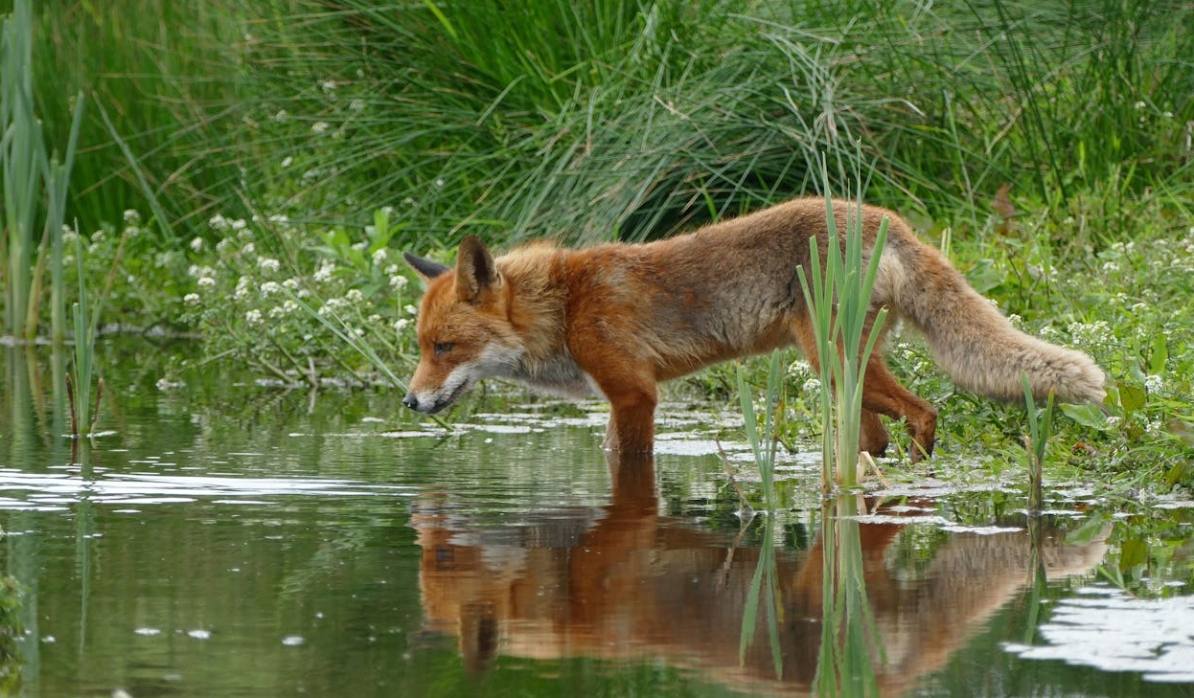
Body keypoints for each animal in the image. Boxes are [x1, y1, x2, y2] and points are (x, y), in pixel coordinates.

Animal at [398, 195, 1098, 460]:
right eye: (422, 348)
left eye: (445, 347)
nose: (409, 401)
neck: (564, 307)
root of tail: (885, 218)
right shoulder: (622, 397)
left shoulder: (635, 395)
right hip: (845, 375)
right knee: (877, 435)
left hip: (833, 363)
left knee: (926, 412)